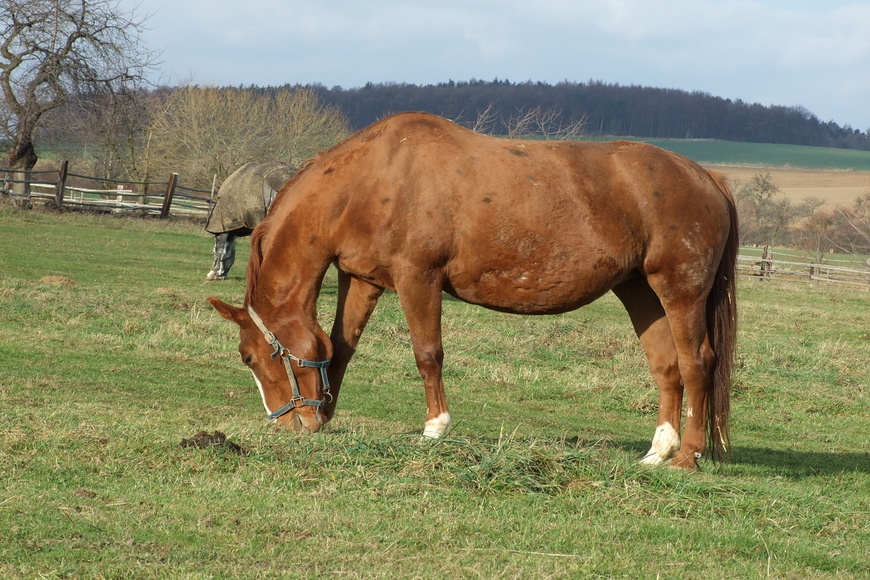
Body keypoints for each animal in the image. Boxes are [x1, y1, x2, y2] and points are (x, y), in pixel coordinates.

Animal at [209, 111, 736, 468]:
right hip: (640, 292)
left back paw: (688, 456)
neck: (373, 179)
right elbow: (340, 349)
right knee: (666, 366)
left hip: (680, 290)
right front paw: (331, 416)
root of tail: (707, 176)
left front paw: (434, 429)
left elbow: (427, 354)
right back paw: (658, 451)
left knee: (696, 363)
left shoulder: (417, 279)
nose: (291, 423)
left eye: (250, 357)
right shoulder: (362, 280)